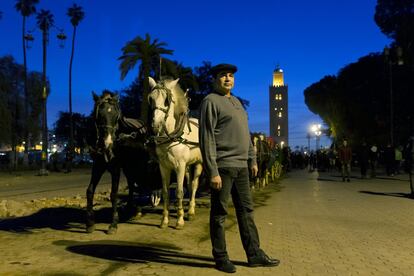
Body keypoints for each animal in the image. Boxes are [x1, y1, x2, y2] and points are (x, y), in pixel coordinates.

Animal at [148, 76, 203, 230]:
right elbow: (166, 192)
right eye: (151, 98)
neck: (171, 137)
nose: (156, 125)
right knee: (190, 185)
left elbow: (179, 192)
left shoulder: (180, 166)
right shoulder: (163, 167)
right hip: (188, 166)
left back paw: (191, 211)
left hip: (198, 163)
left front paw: (179, 220)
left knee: (194, 185)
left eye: (167, 100)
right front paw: (164, 220)